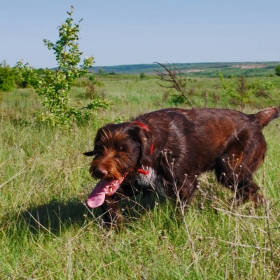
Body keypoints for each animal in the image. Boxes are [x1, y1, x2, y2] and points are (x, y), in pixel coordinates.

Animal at [84, 106, 278, 224]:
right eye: (99, 148)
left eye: (123, 149)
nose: (99, 171)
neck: (154, 146)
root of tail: (254, 118)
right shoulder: (137, 184)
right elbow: (107, 199)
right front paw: (115, 225)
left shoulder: (184, 184)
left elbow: (179, 213)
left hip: (231, 170)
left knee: (252, 191)